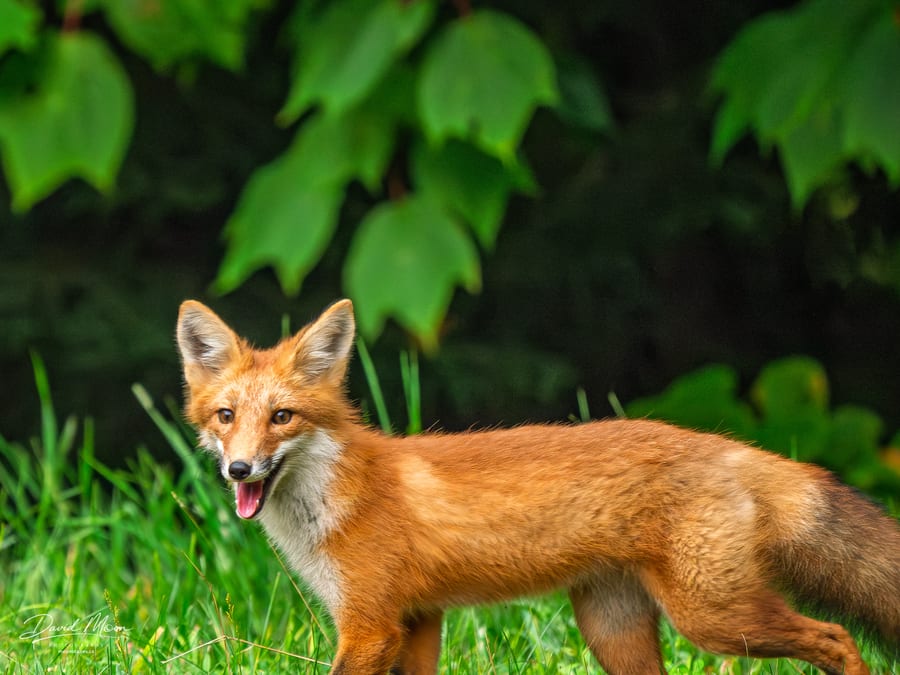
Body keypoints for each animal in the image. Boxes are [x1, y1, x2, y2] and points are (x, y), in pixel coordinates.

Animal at [176, 298, 900, 675]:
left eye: (282, 417)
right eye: (226, 417)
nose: (240, 470)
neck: (333, 503)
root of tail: (724, 444)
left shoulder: (372, 623)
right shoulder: (417, 620)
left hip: (716, 617)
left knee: (836, 637)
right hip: (617, 631)